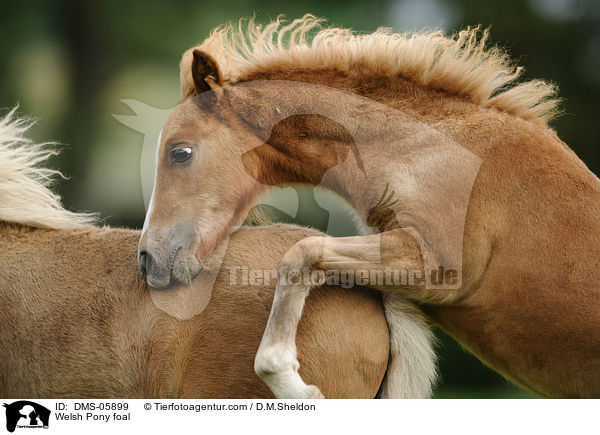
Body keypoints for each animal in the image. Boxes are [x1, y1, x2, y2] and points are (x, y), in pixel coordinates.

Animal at [139, 16, 600, 398]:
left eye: (180, 153)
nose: (148, 260)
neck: (430, 147)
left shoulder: (438, 268)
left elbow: (301, 254)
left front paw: (288, 379)